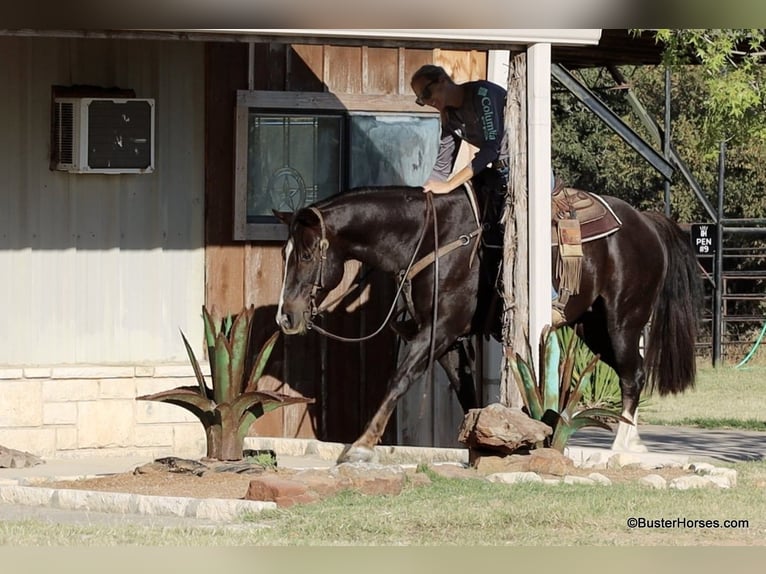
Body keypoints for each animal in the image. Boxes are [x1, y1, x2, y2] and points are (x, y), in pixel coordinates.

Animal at [276, 180, 704, 464]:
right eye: (286, 253)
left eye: (307, 254)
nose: (286, 316)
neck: (429, 239)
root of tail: (645, 222)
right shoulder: (449, 342)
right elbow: (466, 396)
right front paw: (478, 448)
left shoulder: (440, 330)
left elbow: (399, 379)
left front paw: (361, 444)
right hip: (592, 327)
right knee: (633, 372)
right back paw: (634, 444)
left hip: (622, 321)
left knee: (633, 375)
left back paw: (620, 448)